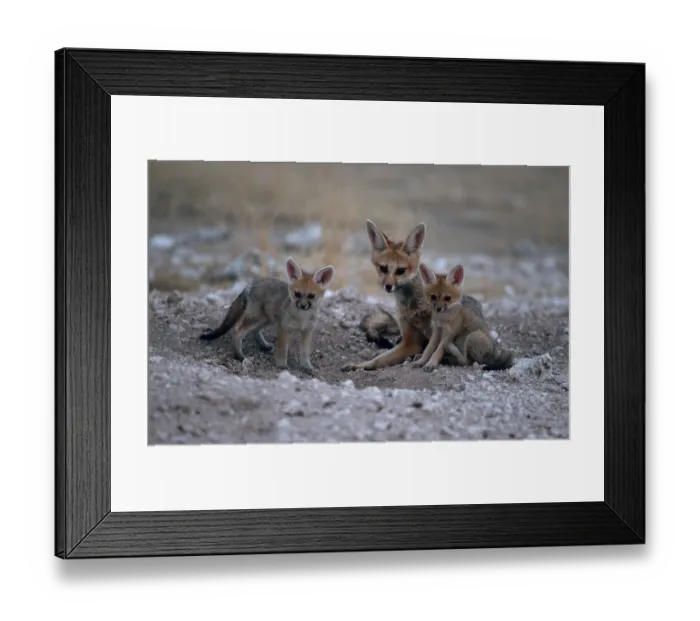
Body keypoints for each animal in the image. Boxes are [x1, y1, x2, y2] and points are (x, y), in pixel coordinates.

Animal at [199, 257, 335, 374]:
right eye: (297, 294)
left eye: (311, 296)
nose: (302, 305)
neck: (302, 318)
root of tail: (252, 284)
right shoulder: (283, 329)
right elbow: (282, 350)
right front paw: (281, 365)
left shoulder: (307, 331)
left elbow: (305, 353)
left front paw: (306, 366)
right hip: (257, 318)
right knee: (238, 330)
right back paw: (239, 355)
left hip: (267, 319)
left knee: (254, 331)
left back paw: (263, 345)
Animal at [342, 219, 485, 372]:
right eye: (383, 268)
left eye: (401, 270)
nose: (388, 286)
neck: (412, 306)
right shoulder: (408, 338)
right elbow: (378, 359)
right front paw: (359, 365)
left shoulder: (416, 343)